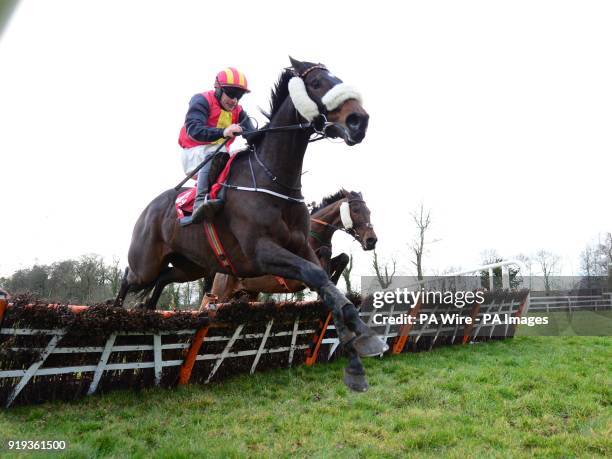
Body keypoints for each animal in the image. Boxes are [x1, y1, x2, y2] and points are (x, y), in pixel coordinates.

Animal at [204, 189, 378, 308]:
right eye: (355, 210)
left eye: (369, 212)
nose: (372, 241)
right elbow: (325, 254)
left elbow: (343, 257)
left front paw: (333, 281)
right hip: (221, 292)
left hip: (249, 294)